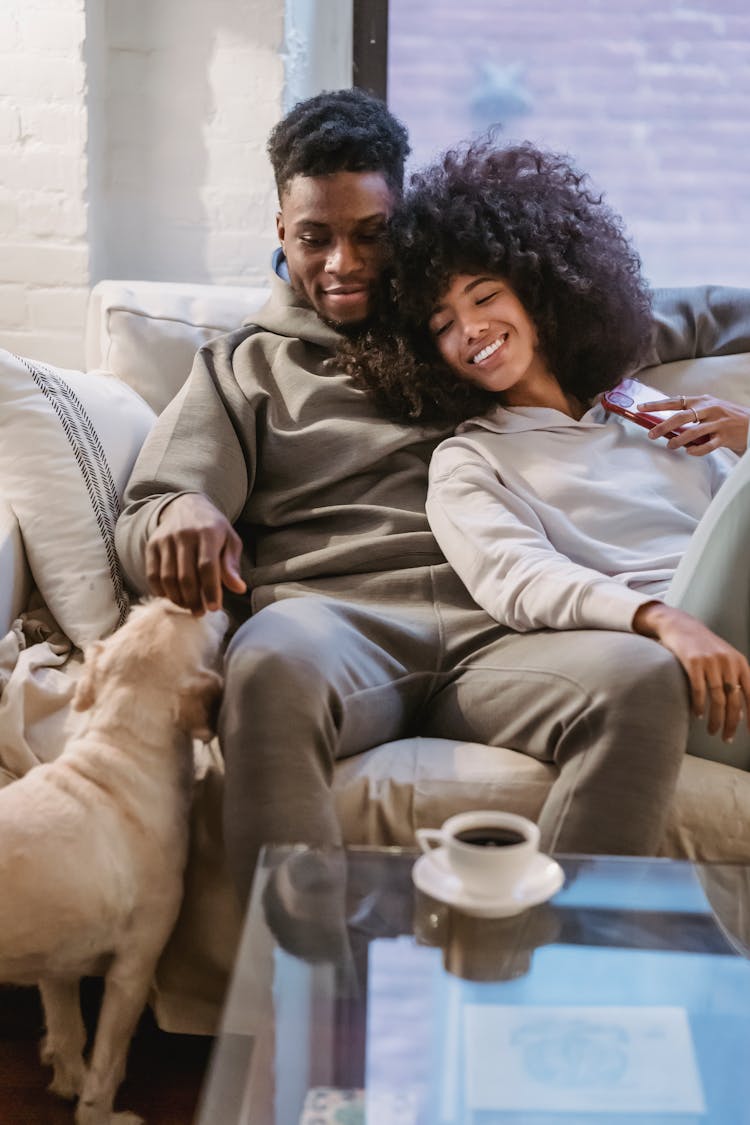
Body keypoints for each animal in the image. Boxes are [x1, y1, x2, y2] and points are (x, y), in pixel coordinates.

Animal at [0, 598, 226, 1125]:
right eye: (200, 621)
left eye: (142, 612)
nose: (179, 596)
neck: (124, 752)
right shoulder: (135, 968)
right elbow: (108, 1064)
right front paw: (99, 1113)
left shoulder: (57, 963)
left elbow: (69, 1034)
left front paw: (66, 1079)